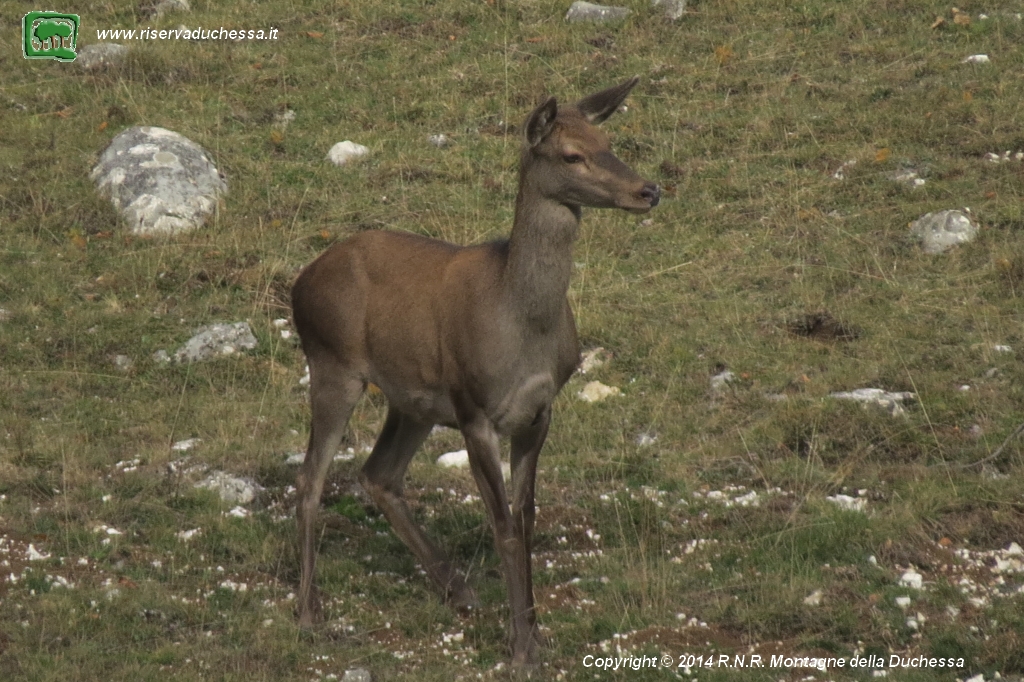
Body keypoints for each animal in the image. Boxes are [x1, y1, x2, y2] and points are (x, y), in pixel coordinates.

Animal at [291, 77, 659, 667]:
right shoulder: (474, 408)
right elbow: (503, 524)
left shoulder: (540, 411)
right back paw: (309, 613)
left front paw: (535, 632)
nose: (649, 190)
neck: (522, 326)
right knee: (311, 480)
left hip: (411, 400)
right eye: (571, 154)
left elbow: (526, 519)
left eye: (607, 140)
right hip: (332, 364)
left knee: (379, 473)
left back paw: (458, 589)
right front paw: (522, 649)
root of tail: (300, 282)